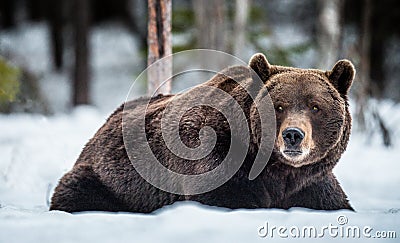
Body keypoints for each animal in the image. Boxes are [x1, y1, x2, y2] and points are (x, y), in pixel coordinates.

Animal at [50, 53, 356, 213]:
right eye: (278, 106)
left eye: (315, 106)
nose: (293, 135)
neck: (278, 171)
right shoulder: (216, 162)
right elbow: (226, 198)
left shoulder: (311, 184)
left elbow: (333, 202)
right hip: (105, 179)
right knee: (76, 191)